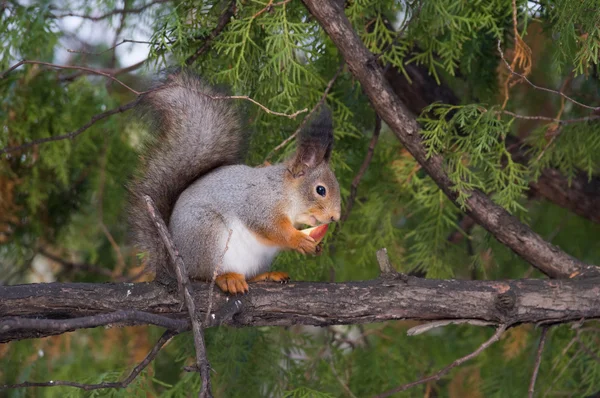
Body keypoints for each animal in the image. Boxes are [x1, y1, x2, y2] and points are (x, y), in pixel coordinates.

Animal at [128, 71, 340, 294]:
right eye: (320, 190)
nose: (335, 217)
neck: (286, 192)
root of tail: (175, 264)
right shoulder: (260, 204)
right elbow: (272, 228)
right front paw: (299, 240)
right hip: (207, 236)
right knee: (205, 275)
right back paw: (227, 277)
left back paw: (266, 275)